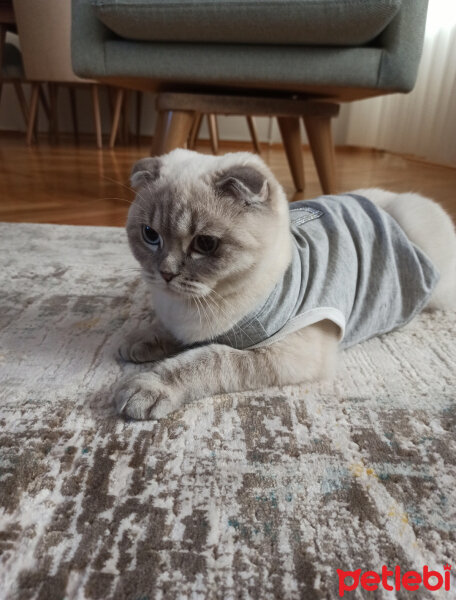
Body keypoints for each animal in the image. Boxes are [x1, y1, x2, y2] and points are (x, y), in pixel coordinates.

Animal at [112, 149, 454, 422]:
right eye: (150, 235)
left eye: (205, 244)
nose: (165, 274)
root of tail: (391, 206)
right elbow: (164, 331)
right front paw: (137, 341)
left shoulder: (286, 354)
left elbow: (206, 359)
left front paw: (148, 387)